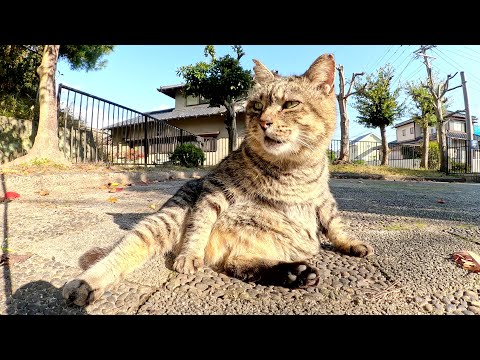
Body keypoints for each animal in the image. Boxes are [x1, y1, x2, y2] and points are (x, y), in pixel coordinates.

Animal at [62, 54, 374, 306]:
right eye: (257, 106)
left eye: (290, 104)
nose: (264, 122)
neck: (290, 168)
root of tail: (218, 249)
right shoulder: (215, 189)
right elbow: (200, 223)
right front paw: (189, 254)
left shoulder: (324, 199)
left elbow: (335, 224)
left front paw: (351, 243)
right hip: (168, 217)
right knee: (127, 249)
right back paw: (84, 285)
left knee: (237, 263)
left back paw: (296, 273)